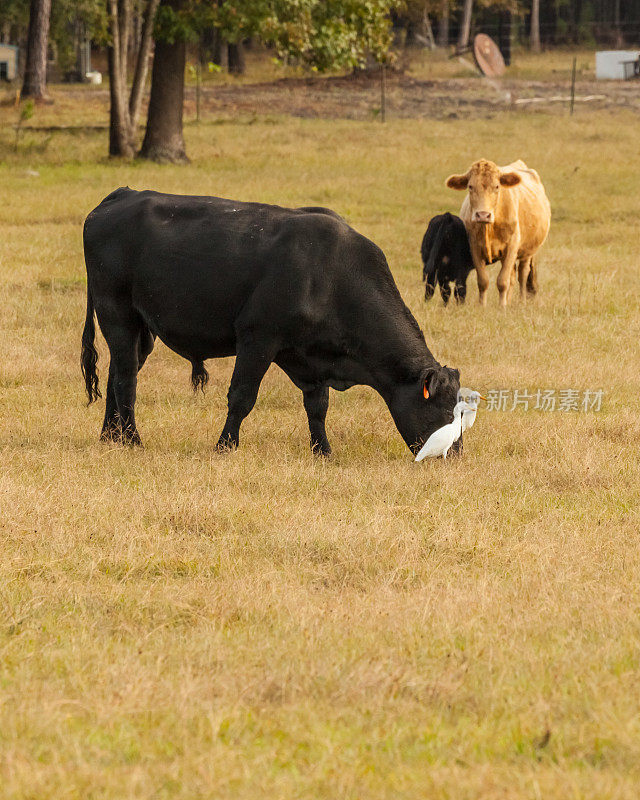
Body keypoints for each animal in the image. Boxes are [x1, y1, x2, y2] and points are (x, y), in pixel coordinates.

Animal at [82, 188, 460, 456]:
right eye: (445, 411)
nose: (453, 454)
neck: (331, 274)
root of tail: (123, 194)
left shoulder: (312, 357)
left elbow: (318, 407)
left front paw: (323, 451)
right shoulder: (258, 338)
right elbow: (242, 396)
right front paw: (225, 446)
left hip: (142, 330)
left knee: (116, 373)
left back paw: (109, 436)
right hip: (117, 314)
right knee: (126, 378)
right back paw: (132, 439)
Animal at [444, 159, 552, 306]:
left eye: (496, 186)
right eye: (470, 186)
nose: (483, 215)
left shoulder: (511, 247)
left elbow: (502, 281)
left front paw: (502, 307)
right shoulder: (474, 248)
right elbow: (483, 281)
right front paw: (482, 306)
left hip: (527, 252)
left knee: (522, 274)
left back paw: (521, 301)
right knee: (512, 277)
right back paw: (509, 301)